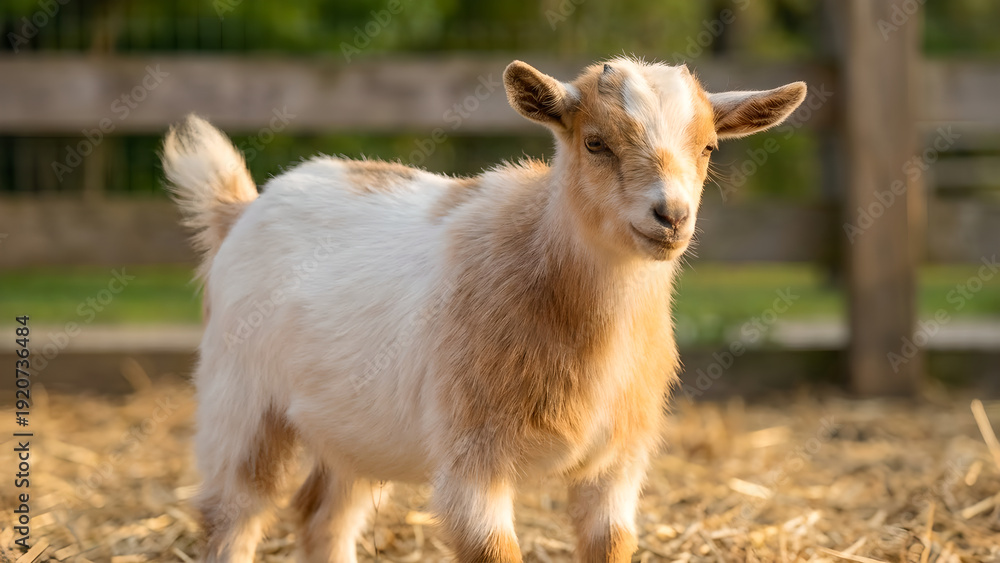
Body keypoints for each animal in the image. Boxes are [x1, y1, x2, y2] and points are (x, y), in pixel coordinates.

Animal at [162, 57, 805, 563]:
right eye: (595, 142)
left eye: (709, 147)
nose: (670, 216)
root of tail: (242, 208)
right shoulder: (473, 456)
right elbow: (494, 550)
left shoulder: (616, 466)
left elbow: (612, 545)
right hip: (241, 401)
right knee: (233, 513)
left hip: (353, 427)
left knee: (323, 517)